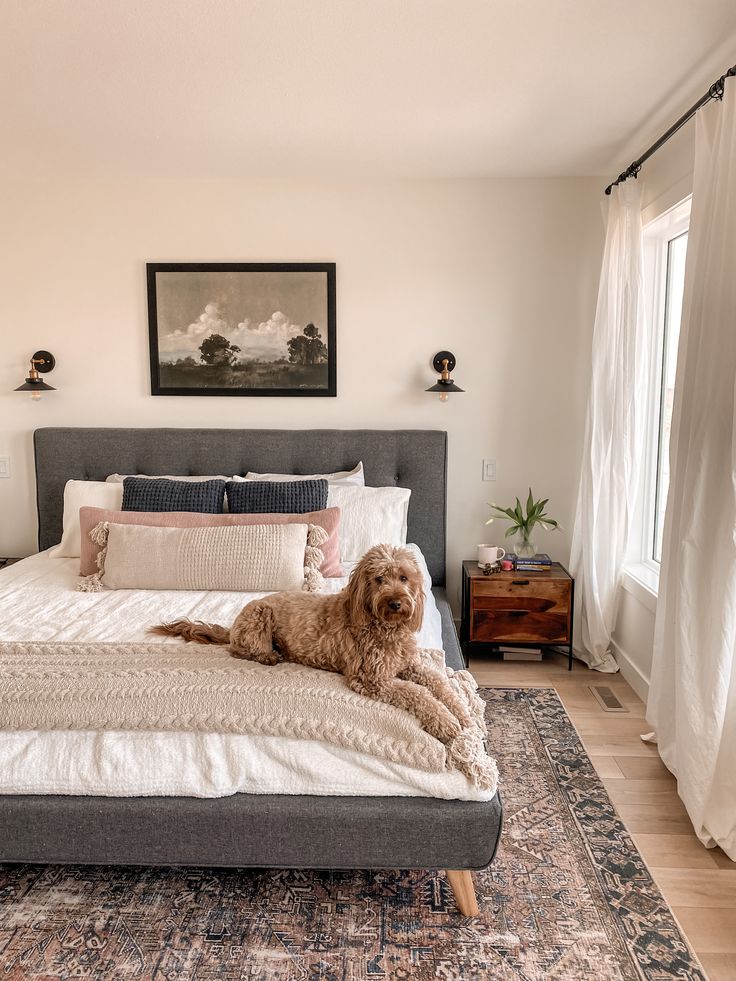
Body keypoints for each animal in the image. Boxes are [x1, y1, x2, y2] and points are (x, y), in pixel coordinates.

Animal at [150, 544, 472, 744]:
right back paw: (269, 655)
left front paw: (462, 712)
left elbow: (439, 682)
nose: (395, 603)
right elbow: (419, 694)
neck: (382, 625)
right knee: (240, 649)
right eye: (380, 579)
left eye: (404, 577)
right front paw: (446, 722)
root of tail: (232, 626)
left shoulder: (411, 665)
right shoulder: (372, 679)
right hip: (259, 615)